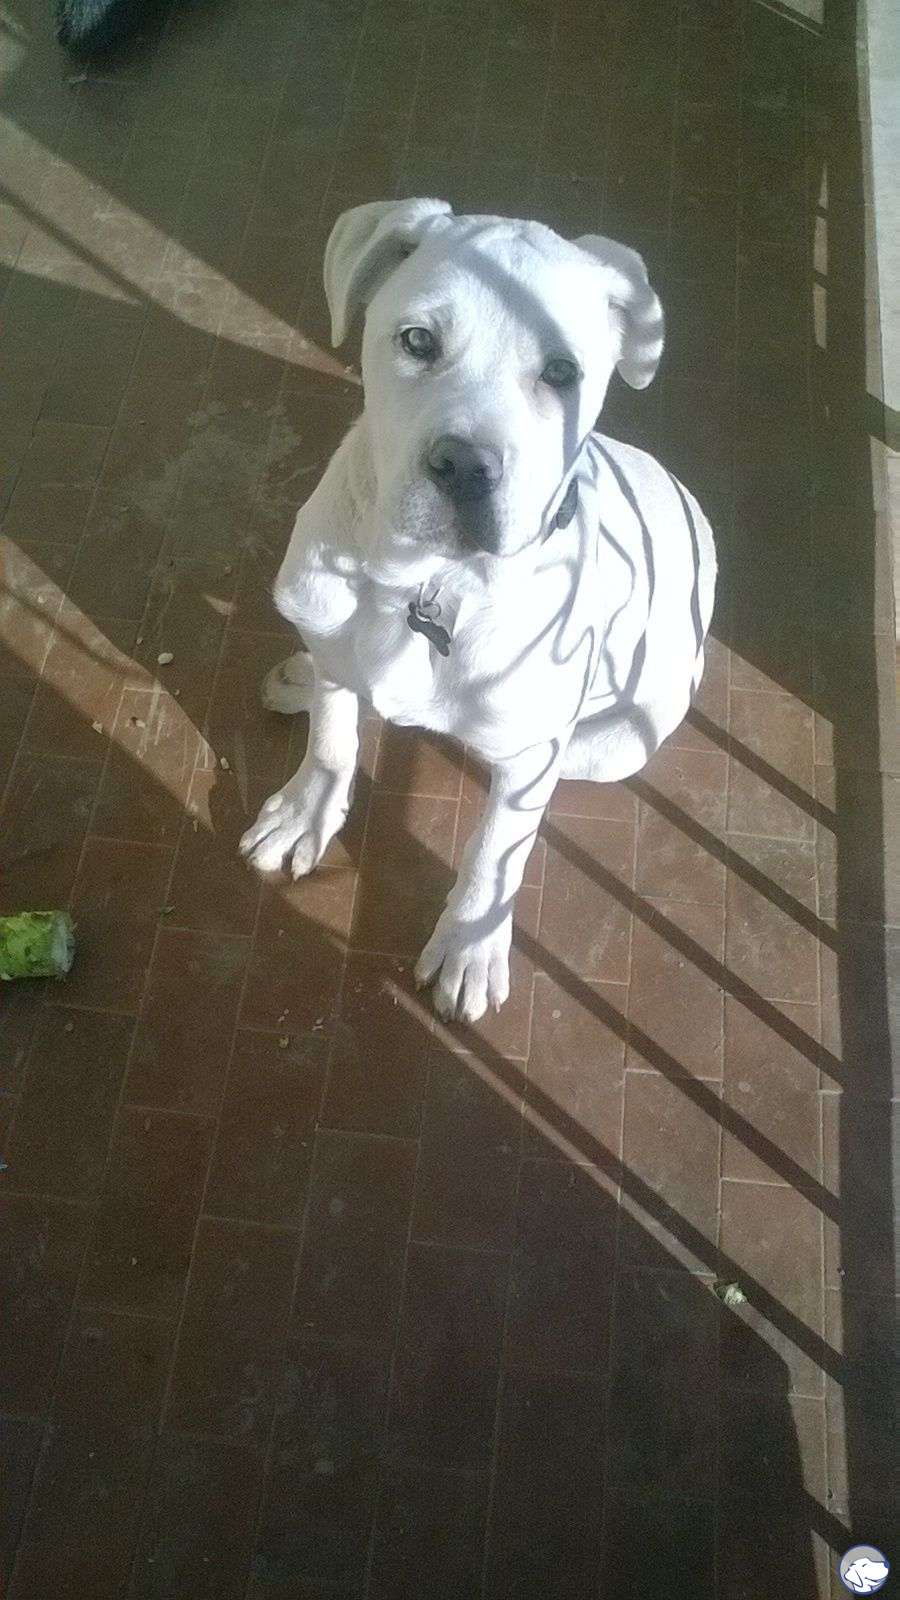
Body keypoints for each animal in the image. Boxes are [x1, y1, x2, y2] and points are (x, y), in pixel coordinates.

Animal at [240, 199, 716, 1023]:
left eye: (562, 373)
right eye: (417, 341)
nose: (464, 466)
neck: (429, 584)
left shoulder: (531, 761)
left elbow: (496, 851)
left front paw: (469, 946)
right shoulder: (329, 621)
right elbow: (333, 737)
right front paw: (308, 809)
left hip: (617, 741)